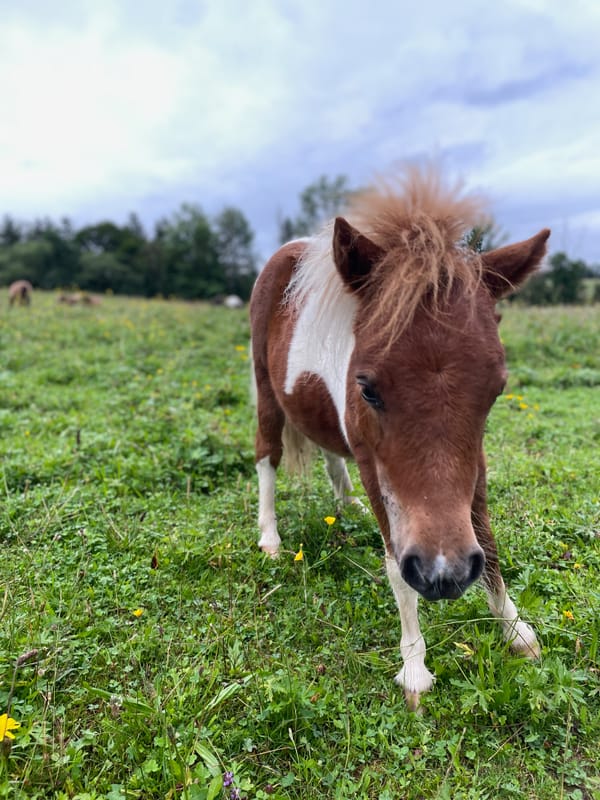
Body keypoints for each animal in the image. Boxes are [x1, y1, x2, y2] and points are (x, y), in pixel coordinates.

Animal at [251, 167, 552, 708]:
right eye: (367, 386)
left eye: (497, 388)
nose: (445, 574)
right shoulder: (377, 468)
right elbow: (395, 563)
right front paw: (414, 667)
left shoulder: (474, 462)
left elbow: (488, 540)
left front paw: (516, 630)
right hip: (265, 389)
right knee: (268, 454)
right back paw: (270, 538)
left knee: (327, 449)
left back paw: (344, 503)